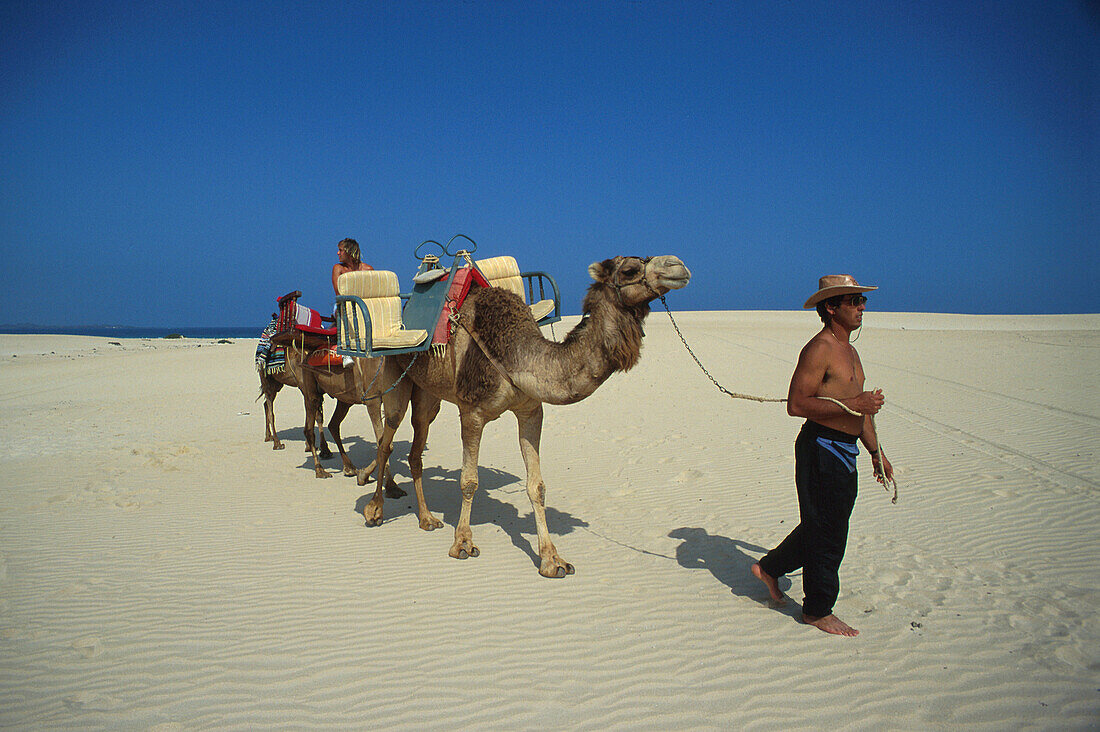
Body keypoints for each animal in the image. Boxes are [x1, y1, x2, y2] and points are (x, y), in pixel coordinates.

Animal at [365, 255, 686, 576]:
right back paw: (375, 510)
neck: (514, 352)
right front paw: (463, 543)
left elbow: (537, 486)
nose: (678, 266)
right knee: (386, 440)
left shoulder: (531, 410)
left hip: (427, 393)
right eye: (630, 269)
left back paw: (427, 518)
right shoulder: (472, 412)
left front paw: (552, 559)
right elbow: (469, 481)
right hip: (394, 376)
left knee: (416, 446)